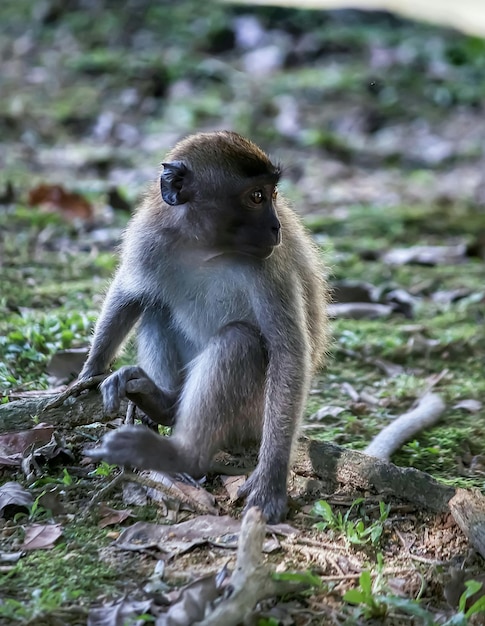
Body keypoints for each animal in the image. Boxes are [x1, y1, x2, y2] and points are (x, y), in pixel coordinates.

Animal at [81, 129, 328, 520]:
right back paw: (164, 403)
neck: (205, 248)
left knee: (238, 341)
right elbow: (129, 293)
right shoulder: (149, 237)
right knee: (156, 306)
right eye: (257, 197)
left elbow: (288, 354)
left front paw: (271, 480)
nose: (275, 226)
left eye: (272, 194)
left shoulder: (268, 265)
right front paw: (88, 371)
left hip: (253, 415)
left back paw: (182, 455)